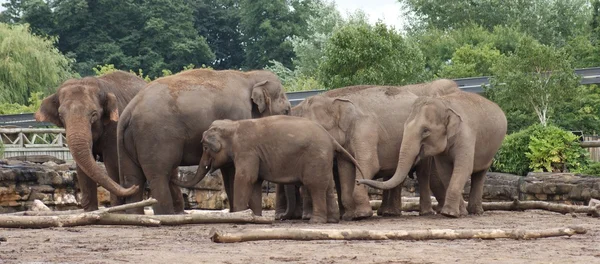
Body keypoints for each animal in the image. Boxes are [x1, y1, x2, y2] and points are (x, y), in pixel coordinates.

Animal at [35, 71, 148, 211]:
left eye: (94, 114)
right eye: (61, 116)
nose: (133, 187)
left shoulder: (115, 126)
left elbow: (113, 162)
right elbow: (82, 168)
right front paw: (91, 211)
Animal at [117, 69, 290, 216]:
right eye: (287, 110)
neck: (249, 75)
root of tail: (129, 110)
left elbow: (229, 171)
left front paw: (235, 213)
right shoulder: (238, 115)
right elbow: (234, 170)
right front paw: (241, 212)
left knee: (133, 178)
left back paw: (135, 215)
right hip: (155, 137)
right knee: (159, 176)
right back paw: (167, 215)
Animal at [199, 115, 364, 223]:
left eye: (205, 147)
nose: (281, 218)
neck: (233, 126)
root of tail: (331, 138)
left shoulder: (246, 150)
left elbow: (245, 179)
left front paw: (240, 216)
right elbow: (255, 182)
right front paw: (256, 217)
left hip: (316, 156)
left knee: (314, 185)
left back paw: (315, 222)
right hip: (323, 158)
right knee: (327, 186)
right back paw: (332, 220)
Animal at [288, 79, 462, 220]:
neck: (332, 101)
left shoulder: (365, 129)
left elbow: (369, 164)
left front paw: (361, 215)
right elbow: (346, 169)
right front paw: (350, 216)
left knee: (423, 171)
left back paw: (422, 212)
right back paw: (389, 213)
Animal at [358, 92, 508, 218]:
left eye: (425, 131)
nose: (358, 181)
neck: (445, 103)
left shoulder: (467, 136)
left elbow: (463, 168)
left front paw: (449, 214)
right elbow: (444, 172)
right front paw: (458, 212)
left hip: (492, 149)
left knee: (480, 173)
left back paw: (476, 212)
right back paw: (472, 211)